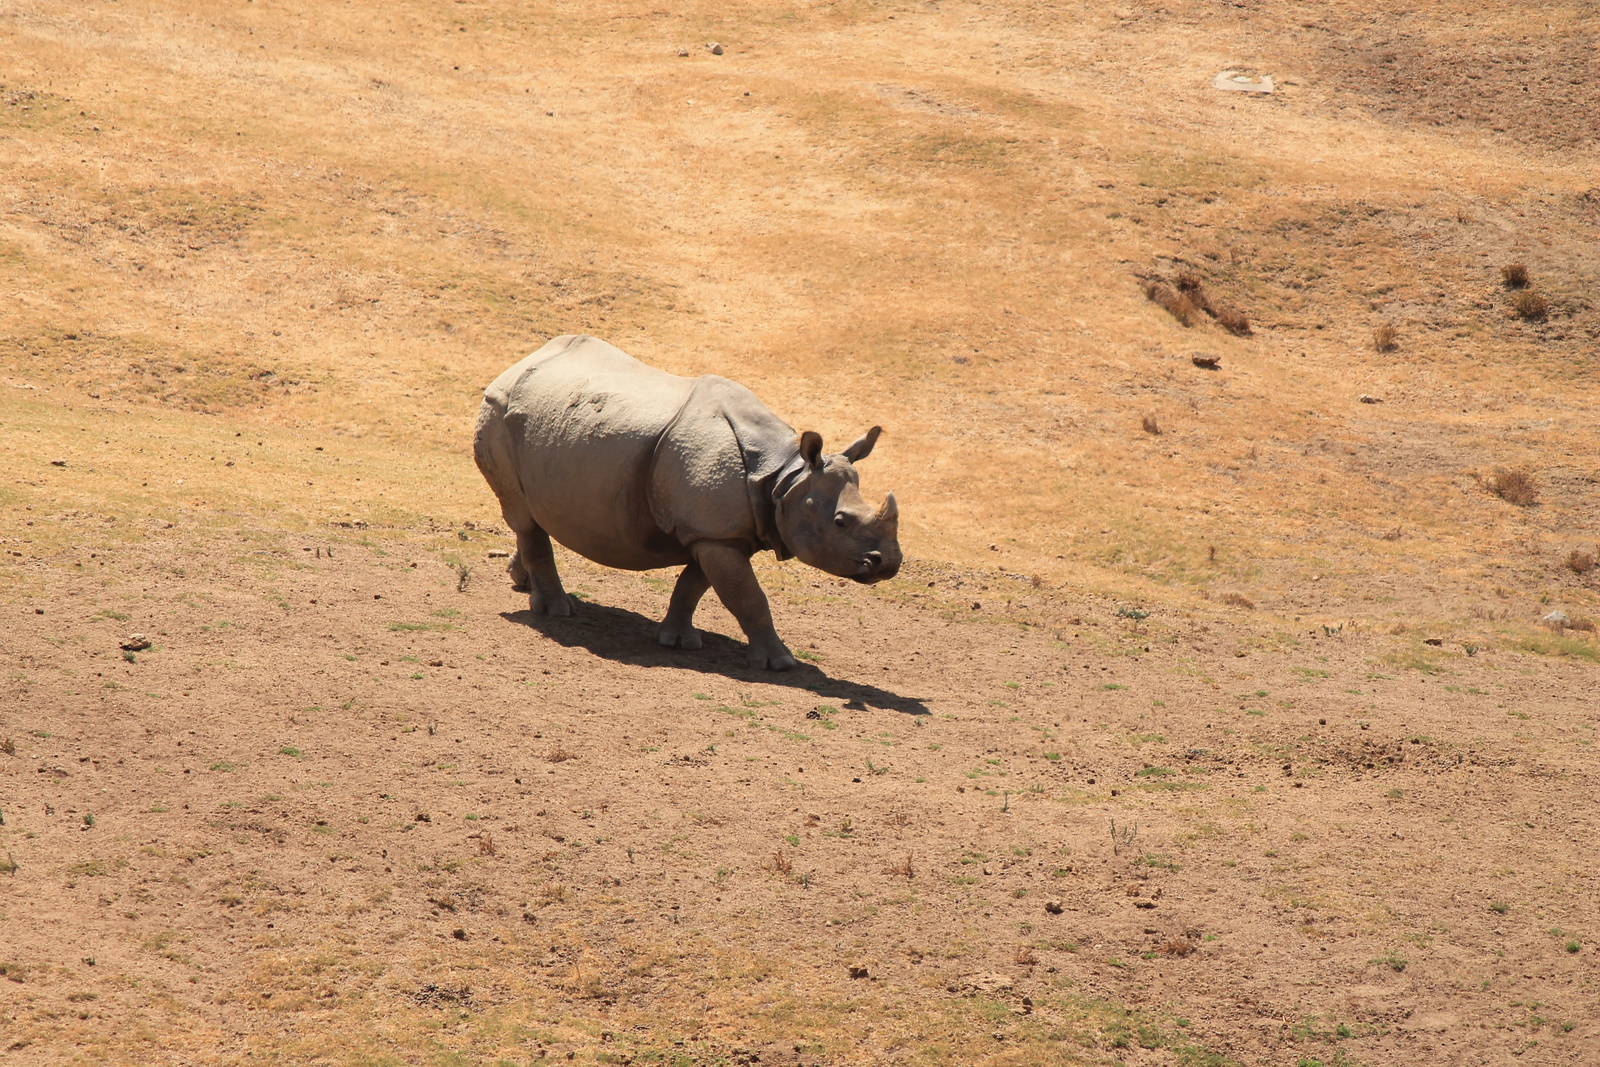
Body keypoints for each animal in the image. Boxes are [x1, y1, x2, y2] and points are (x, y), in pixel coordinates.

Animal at [473, 335, 902, 669]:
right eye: (841, 522)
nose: (889, 564)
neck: (787, 477)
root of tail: (516, 365)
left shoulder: (715, 534)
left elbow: (694, 585)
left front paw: (677, 641)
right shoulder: (715, 533)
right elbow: (748, 596)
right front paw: (781, 663)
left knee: (529, 514)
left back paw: (522, 582)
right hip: (496, 410)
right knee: (522, 514)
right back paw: (555, 610)